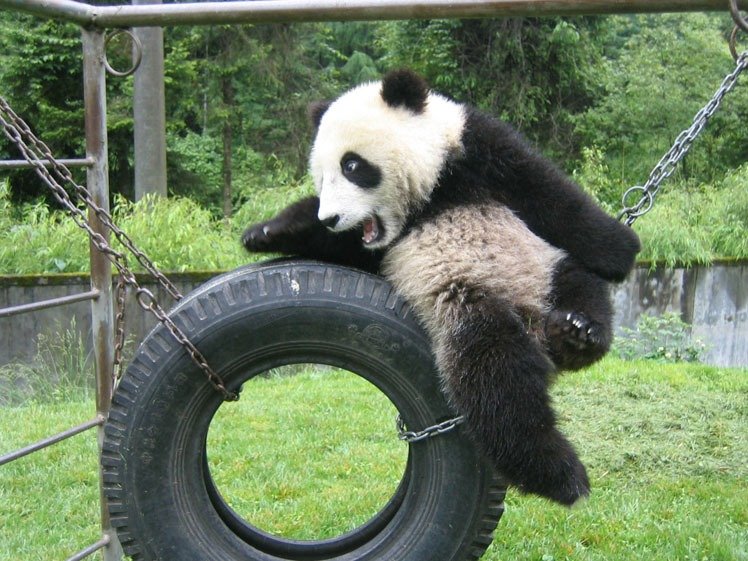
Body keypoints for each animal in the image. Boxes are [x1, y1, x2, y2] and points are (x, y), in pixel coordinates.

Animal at [242, 69, 640, 506]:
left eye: (352, 165)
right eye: (321, 176)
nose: (331, 217)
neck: (427, 199)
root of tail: (532, 322)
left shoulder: (476, 147)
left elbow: (549, 194)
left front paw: (622, 248)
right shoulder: (376, 247)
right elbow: (336, 244)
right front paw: (266, 233)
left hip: (545, 265)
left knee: (581, 290)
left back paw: (576, 334)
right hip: (469, 303)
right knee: (496, 379)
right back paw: (559, 472)